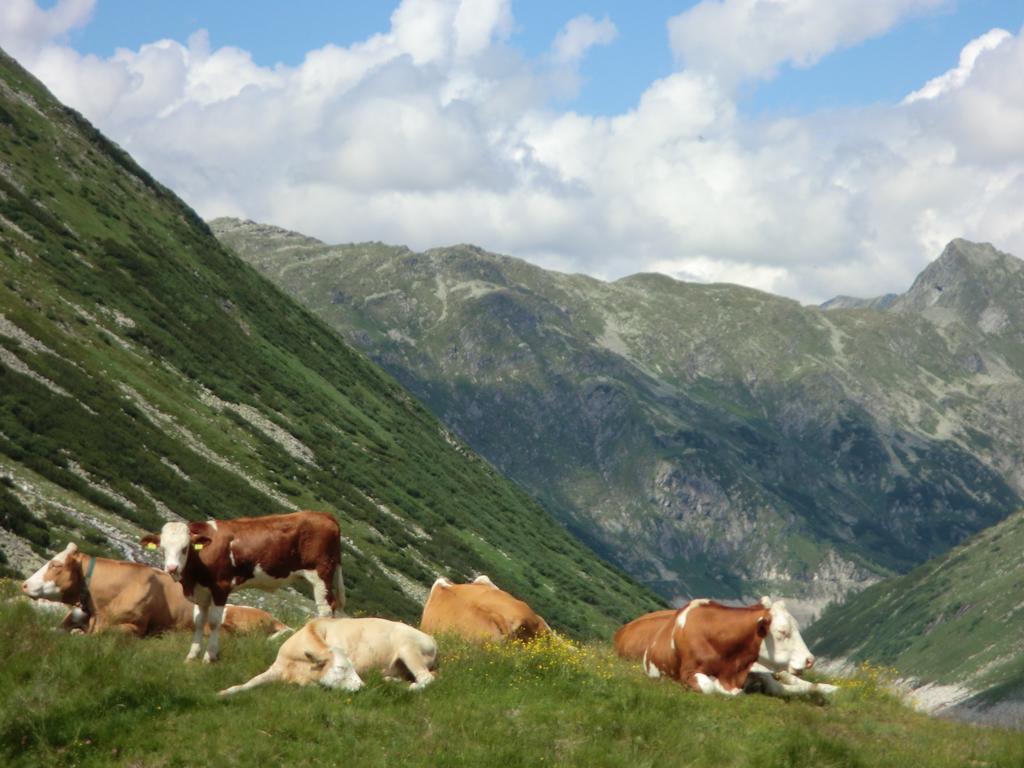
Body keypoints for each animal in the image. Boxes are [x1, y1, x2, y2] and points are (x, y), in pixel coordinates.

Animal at [220, 618, 436, 696]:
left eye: (352, 667)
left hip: (409, 649)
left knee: (426, 678)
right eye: (340, 668)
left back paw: (411, 687)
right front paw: (222, 693)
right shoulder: (276, 667)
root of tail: (432, 639)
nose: (362, 686)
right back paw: (392, 680)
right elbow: (247, 683)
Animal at [614, 598, 839, 700]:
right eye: (782, 632)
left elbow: (775, 685)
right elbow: (711, 686)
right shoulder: (688, 673)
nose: (810, 659)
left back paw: (831, 688)